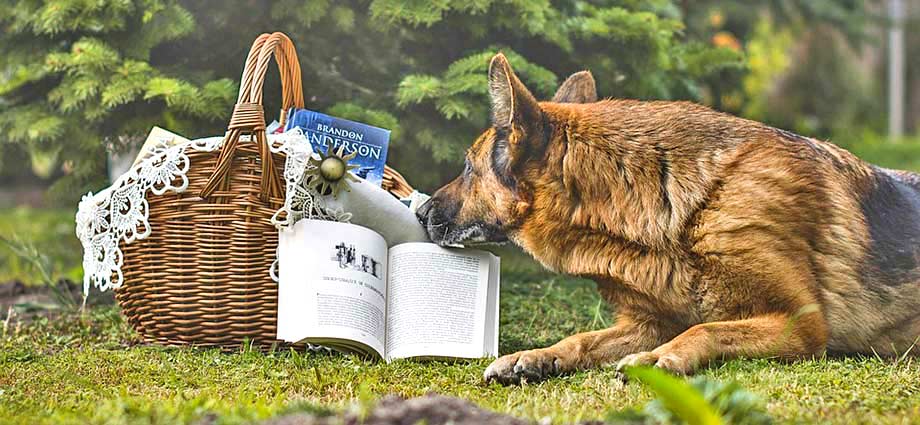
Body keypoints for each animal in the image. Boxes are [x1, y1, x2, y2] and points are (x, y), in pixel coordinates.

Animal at [416, 53, 920, 384]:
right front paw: (537, 356)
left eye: (467, 168)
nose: (419, 212)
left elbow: (707, 326)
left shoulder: (802, 324)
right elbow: (582, 338)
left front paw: (661, 359)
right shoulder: (648, 324)